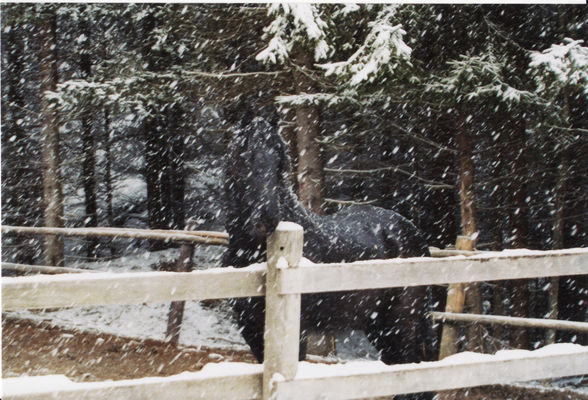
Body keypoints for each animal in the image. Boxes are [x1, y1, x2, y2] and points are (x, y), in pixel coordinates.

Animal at [223, 118, 434, 372]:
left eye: (279, 162)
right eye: (244, 156)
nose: (268, 217)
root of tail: (414, 232)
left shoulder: (296, 332)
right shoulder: (251, 327)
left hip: (402, 323)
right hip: (379, 328)